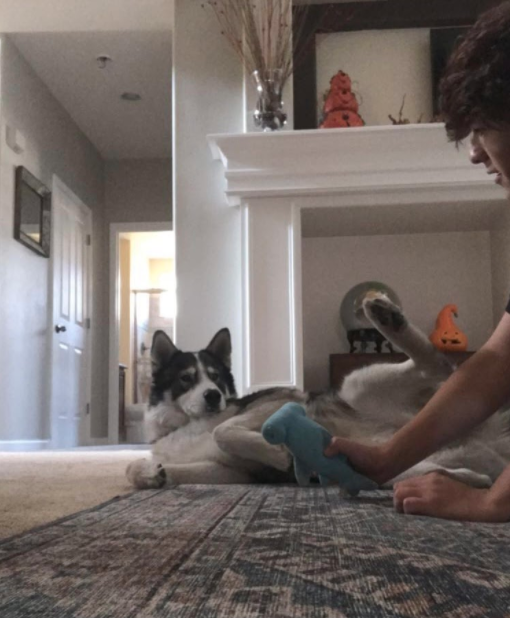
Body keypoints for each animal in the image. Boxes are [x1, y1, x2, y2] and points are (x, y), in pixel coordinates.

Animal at [126, 294, 510, 490]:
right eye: (186, 379)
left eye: (216, 378)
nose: (213, 397)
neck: (183, 424)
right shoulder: (229, 473)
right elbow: (145, 468)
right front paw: (151, 473)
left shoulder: (279, 400)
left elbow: (223, 430)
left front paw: (275, 453)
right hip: (389, 465)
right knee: (459, 476)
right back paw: (449, 483)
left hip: (359, 384)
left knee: (438, 365)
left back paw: (387, 317)